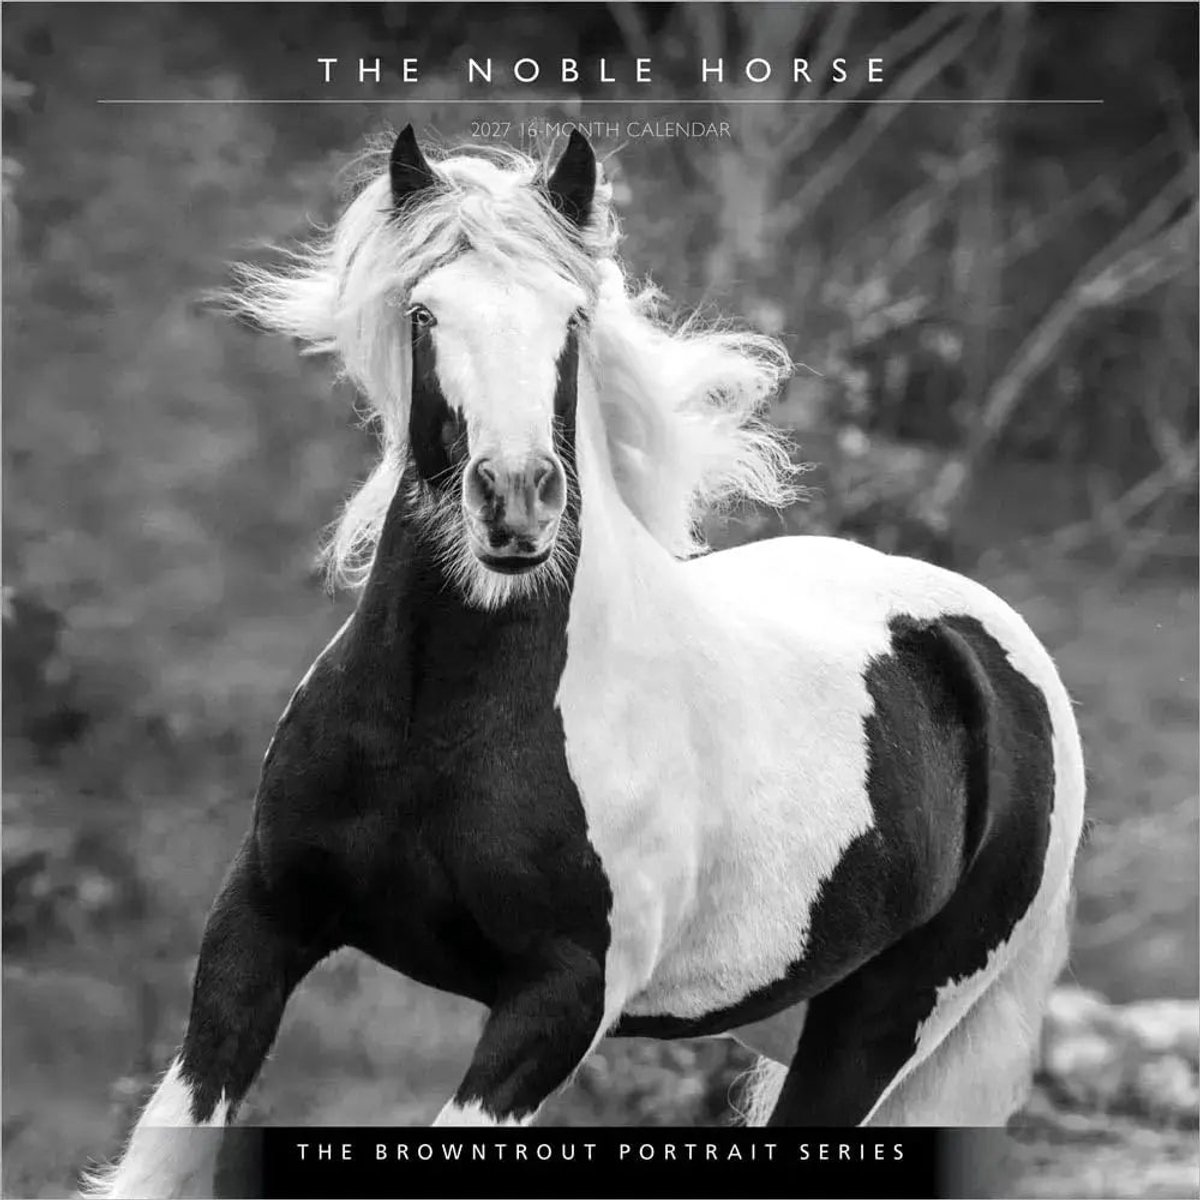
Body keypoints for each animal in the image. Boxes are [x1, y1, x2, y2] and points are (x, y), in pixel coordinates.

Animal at [82, 125, 1085, 1198]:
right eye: (425, 311)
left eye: (570, 315)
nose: (516, 500)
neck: (443, 719)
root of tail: (991, 650)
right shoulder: (260, 919)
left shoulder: (559, 1004)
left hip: (889, 1020)